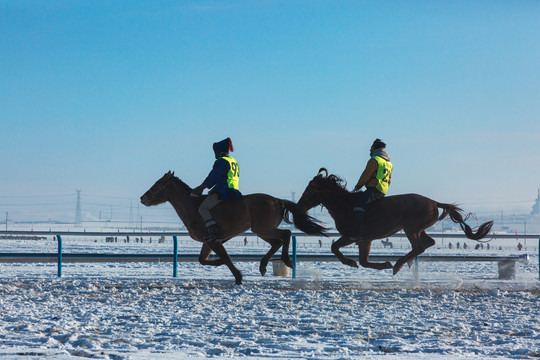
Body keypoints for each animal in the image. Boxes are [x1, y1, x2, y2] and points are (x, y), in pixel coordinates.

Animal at [140, 170, 324, 286]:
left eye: (158, 184)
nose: (143, 198)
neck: (192, 206)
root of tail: (277, 200)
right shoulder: (208, 242)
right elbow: (203, 260)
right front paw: (225, 266)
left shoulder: (213, 241)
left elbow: (225, 258)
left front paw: (238, 277)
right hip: (261, 230)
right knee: (276, 242)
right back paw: (263, 265)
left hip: (263, 229)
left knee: (286, 234)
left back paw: (286, 260)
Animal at [296, 169, 494, 276]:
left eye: (310, 190)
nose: (299, 206)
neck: (345, 206)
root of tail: (434, 202)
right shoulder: (364, 240)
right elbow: (362, 261)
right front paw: (376, 264)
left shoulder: (353, 236)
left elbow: (335, 248)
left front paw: (353, 262)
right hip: (418, 228)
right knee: (428, 243)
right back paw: (405, 262)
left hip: (410, 228)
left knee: (419, 246)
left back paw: (398, 264)